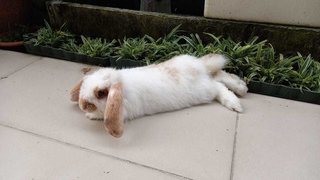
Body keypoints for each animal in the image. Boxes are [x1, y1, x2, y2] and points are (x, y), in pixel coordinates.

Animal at [71, 53, 249, 138]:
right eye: (85, 84)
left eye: (101, 93)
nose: (82, 104)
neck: (122, 83)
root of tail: (200, 66)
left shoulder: (123, 112)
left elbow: (103, 115)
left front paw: (90, 115)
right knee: (220, 75)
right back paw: (241, 87)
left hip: (204, 90)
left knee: (218, 86)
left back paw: (235, 103)